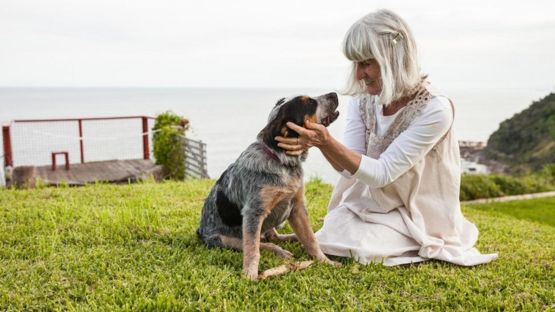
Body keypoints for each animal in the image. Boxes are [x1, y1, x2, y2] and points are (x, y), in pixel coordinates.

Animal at [198, 91, 340, 280]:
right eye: (309, 102)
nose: (334, 93)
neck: (281, 161)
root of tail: (200, 231)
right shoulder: (253, 212)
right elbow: (253, 250)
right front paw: (249, 275)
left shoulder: (298, 207)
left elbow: (311, 240)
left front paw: (326, 261)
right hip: (225, 239)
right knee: (263, 244)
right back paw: (281, 252)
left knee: (273, 237)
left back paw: (291, 238)